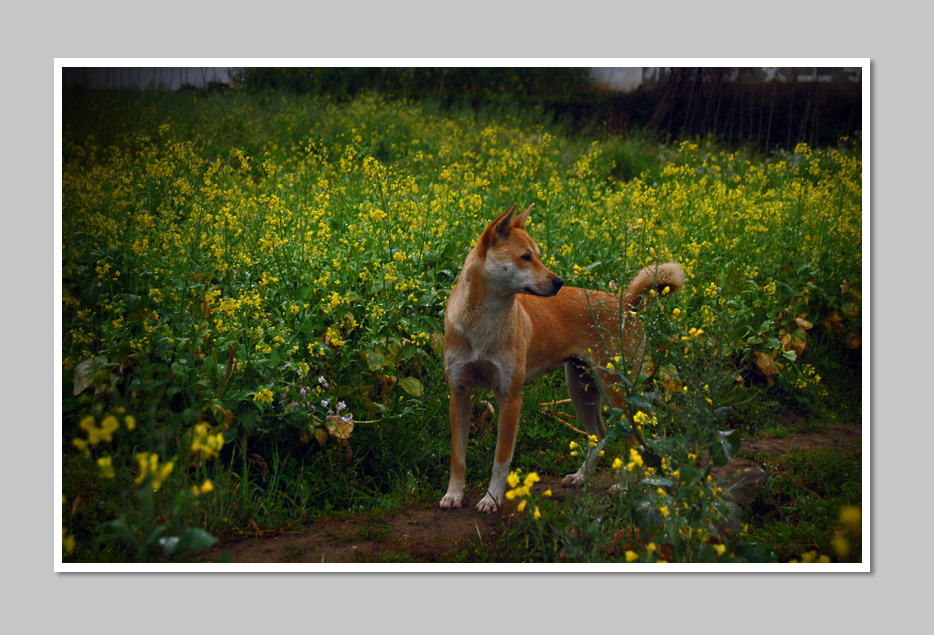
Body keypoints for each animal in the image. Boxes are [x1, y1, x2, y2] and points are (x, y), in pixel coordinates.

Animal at [438, 206, 688, 516]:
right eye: (526, 257)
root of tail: (626, 303)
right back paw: (581, 477)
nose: (559, 282)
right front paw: (453, 495)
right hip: (581, 389)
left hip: (615, 391)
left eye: (538, 255)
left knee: (633, 440)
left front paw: (492, 498)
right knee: (599, 434)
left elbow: (501, 459)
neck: (481, 324)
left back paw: (625, 486)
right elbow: (457, 456)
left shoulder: (510, 396)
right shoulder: (459, 393)